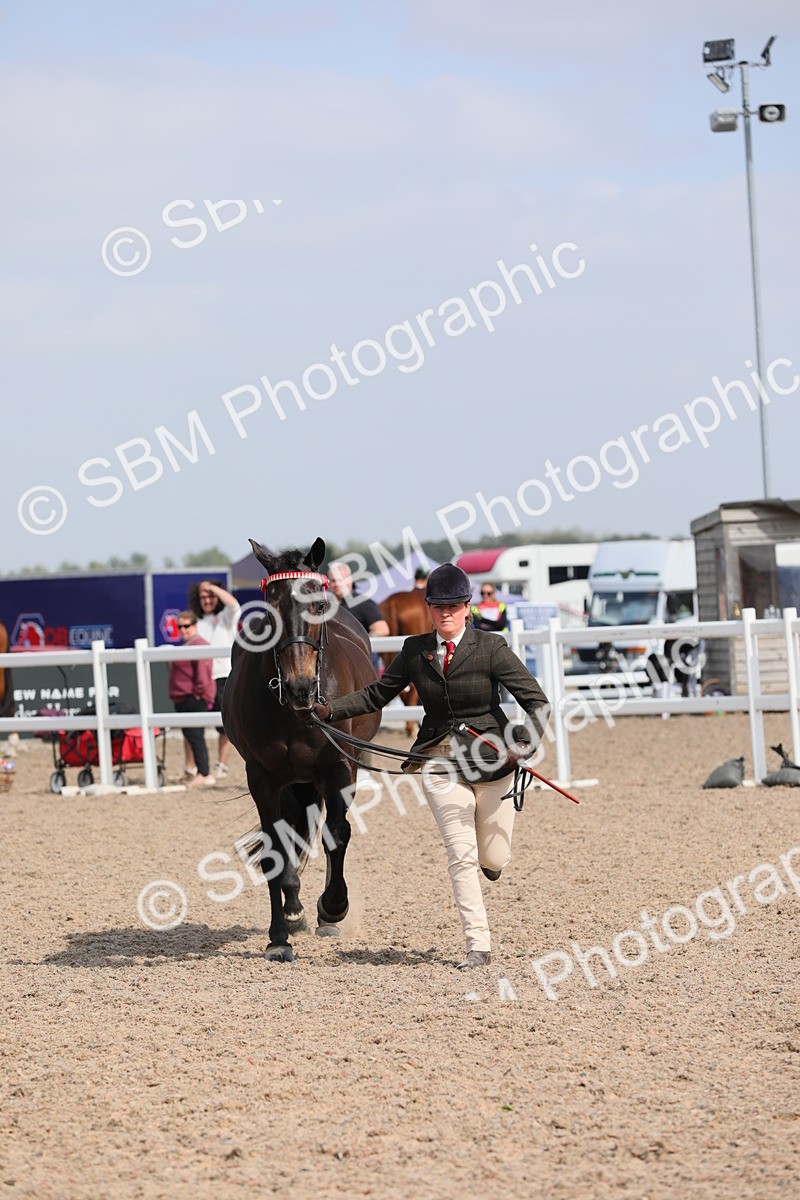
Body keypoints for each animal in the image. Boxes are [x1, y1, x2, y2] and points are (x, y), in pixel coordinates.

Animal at [221, 537, 380, 962]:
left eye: (319, 604)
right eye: (271, 608)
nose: (299, 687)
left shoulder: (337, 767)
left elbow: (337, 833)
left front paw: (333, 907)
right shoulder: (262, 775)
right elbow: (275, 847)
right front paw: (279, 935)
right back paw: (293, 907)